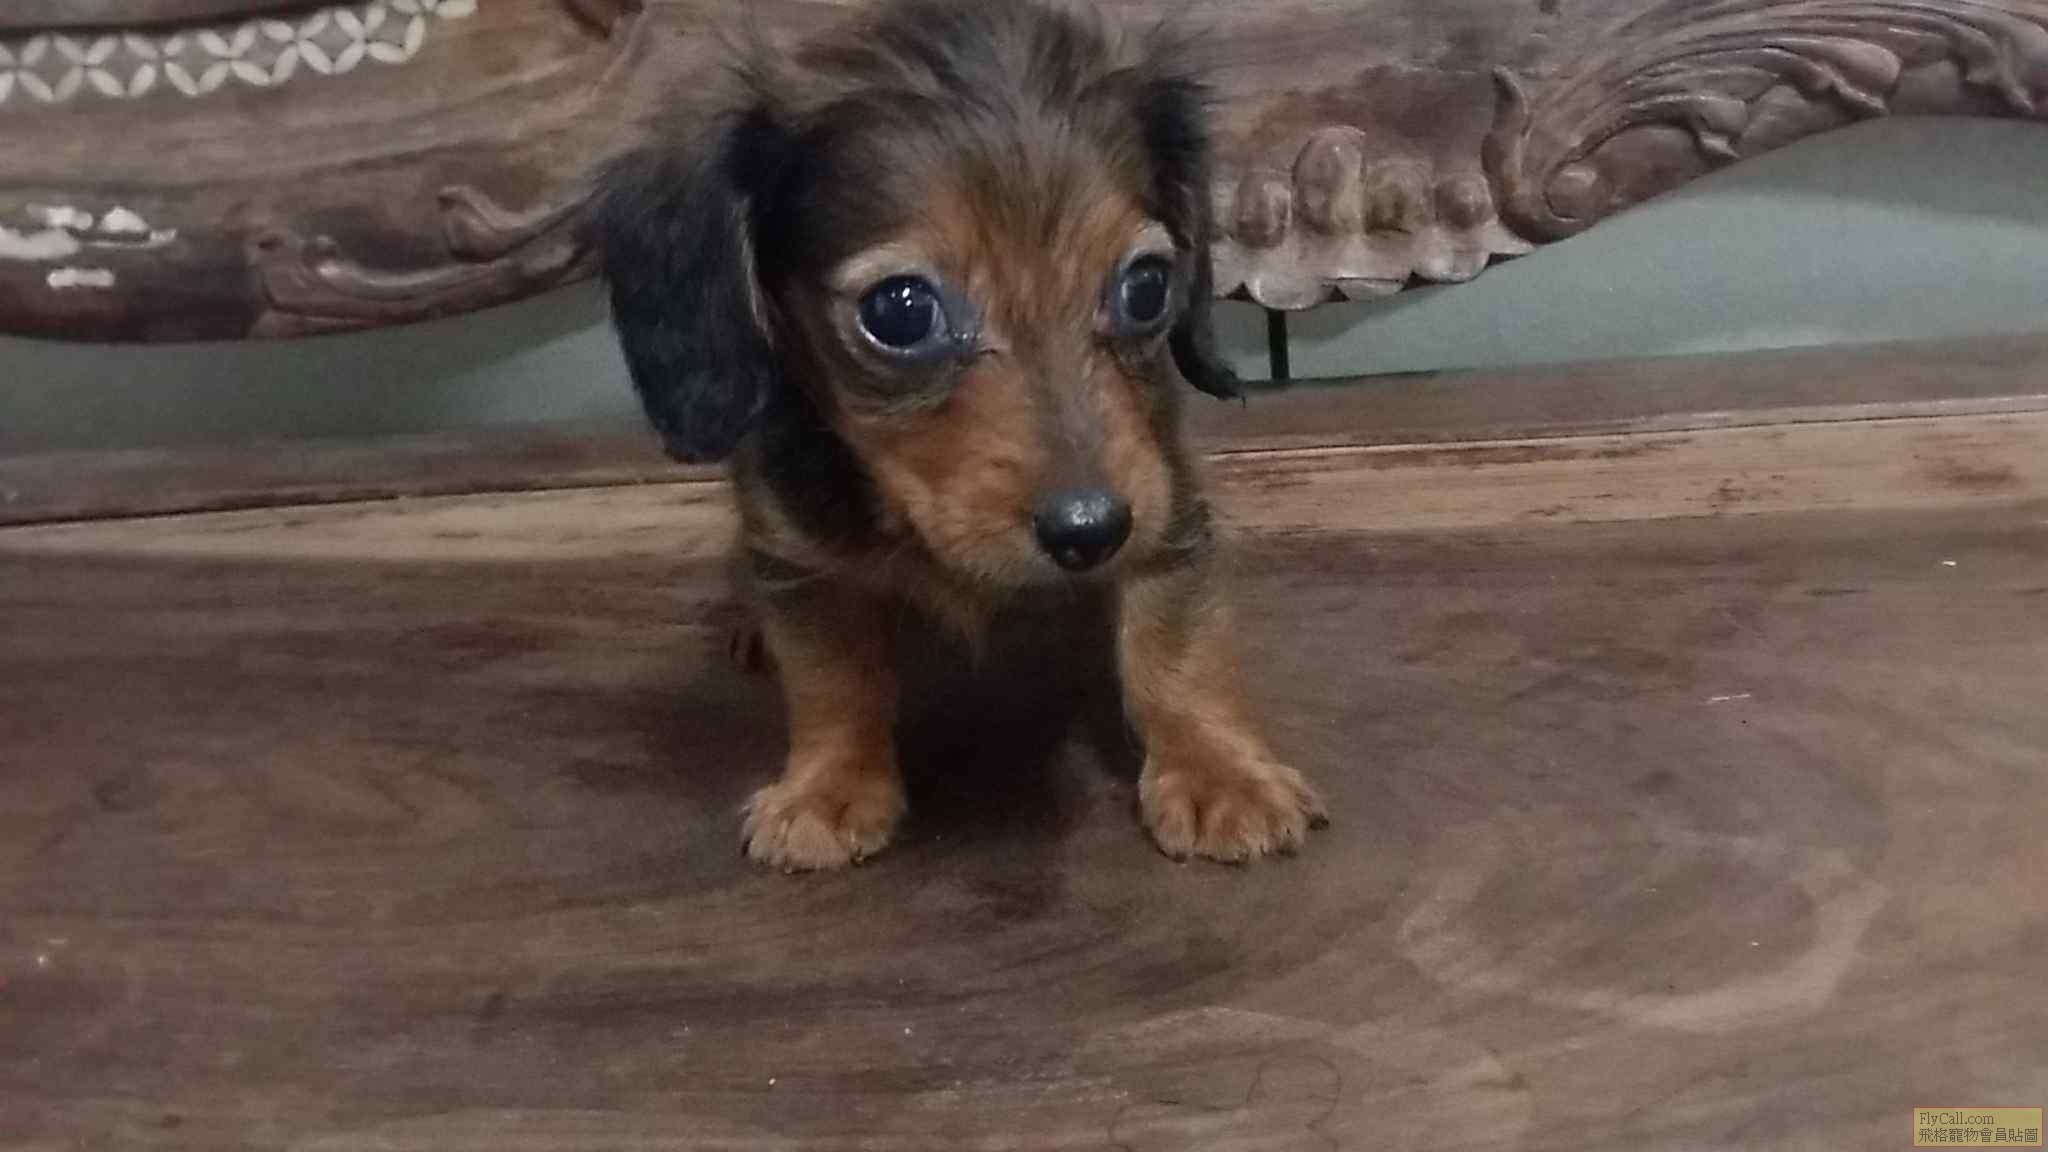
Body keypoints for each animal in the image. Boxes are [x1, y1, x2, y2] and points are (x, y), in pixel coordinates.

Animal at [586, 0, 1326, 869]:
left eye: (1147, 286)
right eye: (900, 311)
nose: (1091, 529)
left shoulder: (1164, 496)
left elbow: (1175, 647)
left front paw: (1218, 771)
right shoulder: (794, 546)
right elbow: (833, 676)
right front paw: (829, 784)